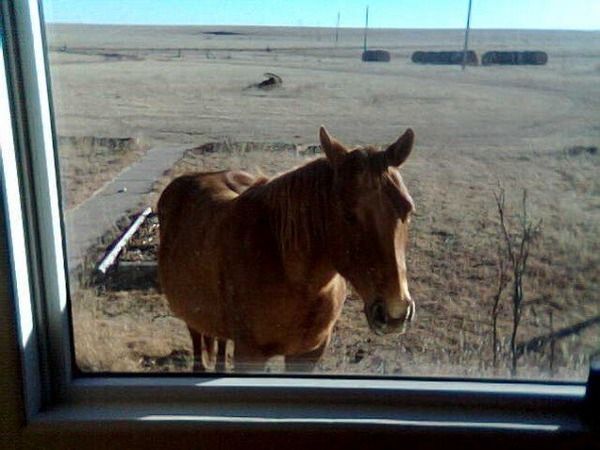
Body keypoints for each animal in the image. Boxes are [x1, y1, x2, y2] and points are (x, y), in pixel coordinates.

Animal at [157, 126, 416, 372]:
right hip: (192, 315)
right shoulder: (250, 354)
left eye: (408, 209)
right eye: (348, 214)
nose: (395, 312)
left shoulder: (308, 354)